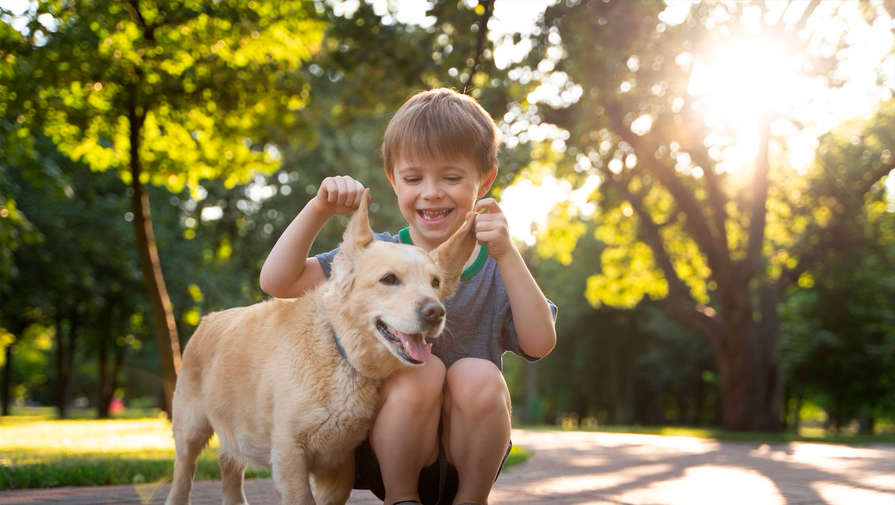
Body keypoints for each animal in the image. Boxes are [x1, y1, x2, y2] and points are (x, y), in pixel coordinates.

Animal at [165, 190, 480, 504]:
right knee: (183, 476)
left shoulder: (338, 464)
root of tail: (208, 318)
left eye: (435, 282)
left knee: (229, 469)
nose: (435, 312)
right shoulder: (289, 456)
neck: (340, 351)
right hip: (190, 430)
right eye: (389, 279)